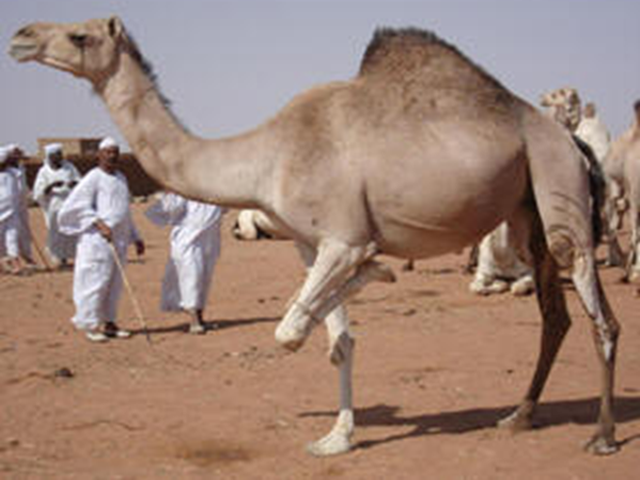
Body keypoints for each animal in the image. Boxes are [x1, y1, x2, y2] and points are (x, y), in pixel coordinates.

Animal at [9, 17, 621, 456]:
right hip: (525, 211)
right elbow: (337, 340)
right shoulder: (310, 243)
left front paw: (380, 268)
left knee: (597, 309)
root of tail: (568, 138)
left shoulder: (343, 238)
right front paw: (337, 438)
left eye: (80, 35)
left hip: (555, 179)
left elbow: (291, 330)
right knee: (555, 314)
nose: (21, 36)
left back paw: (604, 436)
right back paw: (519, 415)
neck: (266, 156)